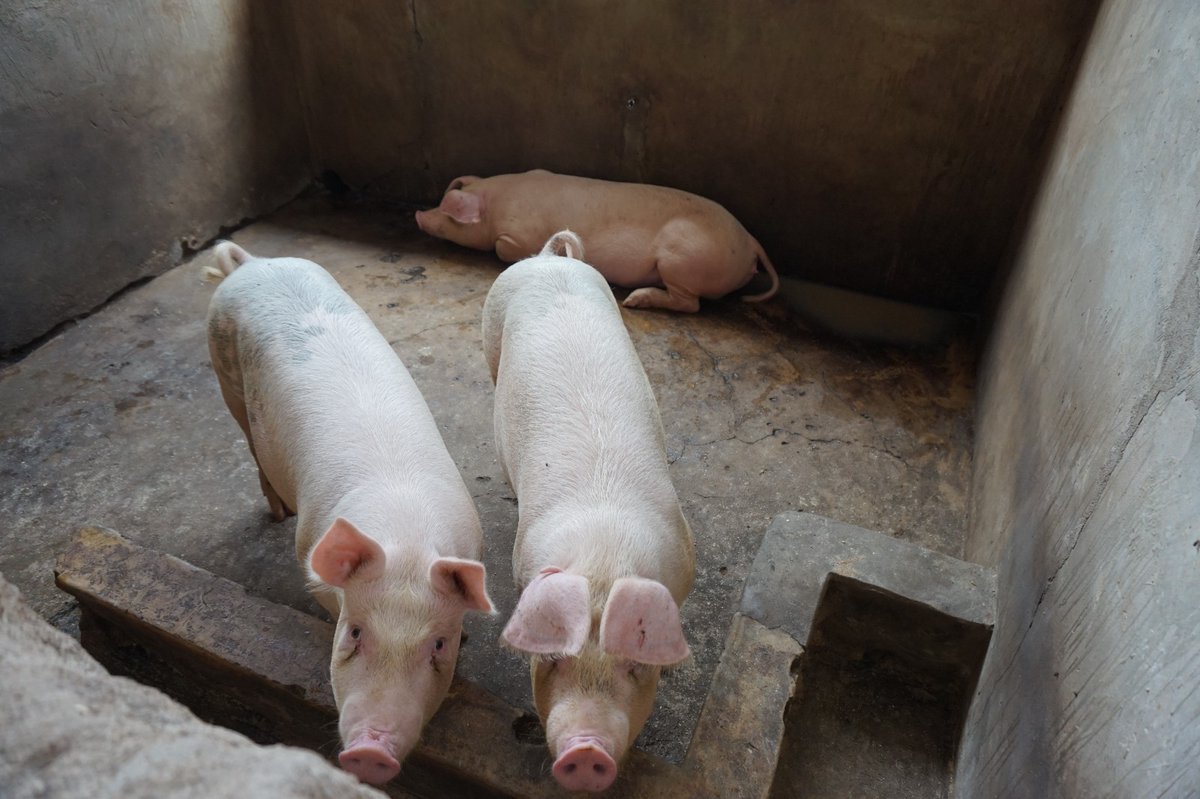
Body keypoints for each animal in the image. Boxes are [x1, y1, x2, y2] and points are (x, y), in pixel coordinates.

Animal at [204, 242, 493, 785]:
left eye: (439, 646)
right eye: (355, 632)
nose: (371, 751)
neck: (404, 535)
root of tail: (250, 263)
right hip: (222, 367)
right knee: (250, 443)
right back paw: (278, 511)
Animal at [415, 169, 779, 313]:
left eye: (448, 214)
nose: (419, 214)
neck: (499, 202)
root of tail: (749, 241)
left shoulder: (519, 235)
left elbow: (504, 249)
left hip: (682, 259)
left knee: (691, 304)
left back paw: (634, 300)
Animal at [481, 231, 695, 792]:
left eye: (636, 664)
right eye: (551, 658)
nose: (585, 750)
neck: (603, 557)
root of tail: (545, 259)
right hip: (490, 326)